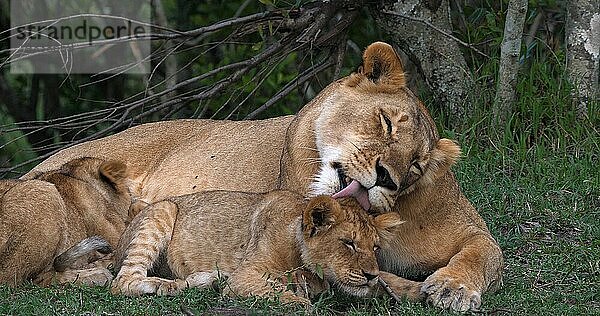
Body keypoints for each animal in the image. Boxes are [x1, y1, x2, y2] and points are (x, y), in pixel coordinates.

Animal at [110, 190, 410, 304]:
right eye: (348, 243)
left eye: (375, 248)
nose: (371, 275)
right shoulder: (244, 277)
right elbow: (283, 293)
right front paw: (302, 302)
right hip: (163, 209)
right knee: (122, 281)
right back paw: (160, 285)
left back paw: (206, 280)